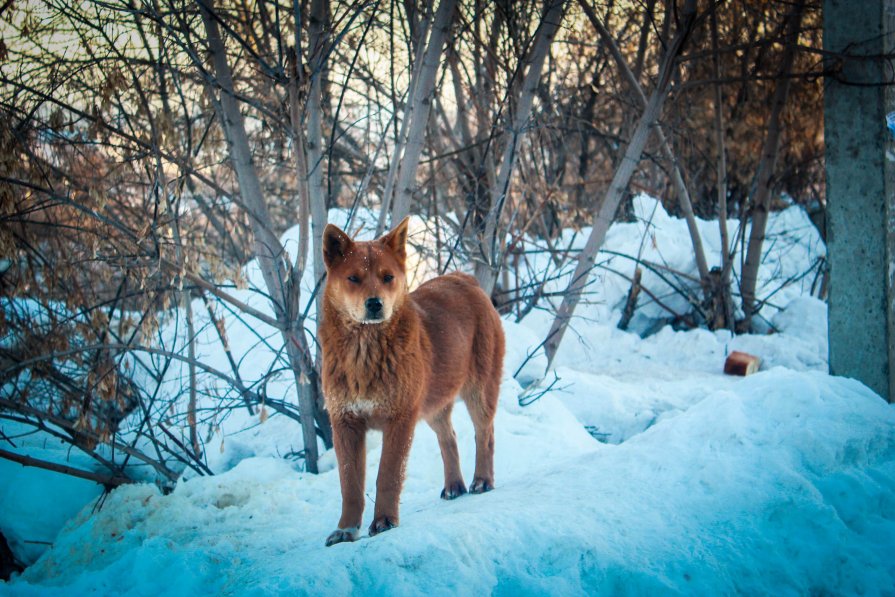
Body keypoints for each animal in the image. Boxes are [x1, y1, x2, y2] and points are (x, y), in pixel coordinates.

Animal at [320, 218, 504, 544]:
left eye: (388, 277)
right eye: (353, 278)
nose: (375, 304)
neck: (364, 353)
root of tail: (464, 279)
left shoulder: (400, 417)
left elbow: (388, 475)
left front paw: (384, 521)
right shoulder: (345, 421)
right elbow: (349, 484)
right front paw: (346, 529)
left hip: (479, 392)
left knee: (485, 435)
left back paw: (482, 480)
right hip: (433, 405)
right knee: (449, 438)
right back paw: (454, 486)